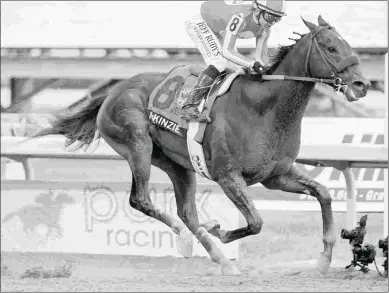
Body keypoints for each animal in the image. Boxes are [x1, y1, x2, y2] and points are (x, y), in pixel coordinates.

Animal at [34, 16, 370, 274]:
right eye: (331, 47)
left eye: (348, 45)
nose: (362, 85)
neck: (265, 108)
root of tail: (113, 92)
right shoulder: (228, 176)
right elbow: (256, 221)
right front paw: (220, 230)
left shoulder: (276, 176)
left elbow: (324, 194)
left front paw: (324, 259)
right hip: (137, 145)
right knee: (141, 200)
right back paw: (186, 240)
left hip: (176, 164)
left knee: (187, 213)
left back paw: (221, 260)